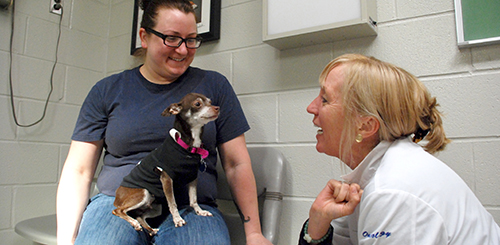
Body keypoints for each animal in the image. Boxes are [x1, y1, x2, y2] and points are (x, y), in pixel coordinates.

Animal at [115, 92, 221, 235]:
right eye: (197, 104)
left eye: (210, 101)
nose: (217, 108)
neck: (187, 146)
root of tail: (117, 196)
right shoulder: (166, 179)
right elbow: (173, 204)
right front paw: (178, 219)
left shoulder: (192, 177)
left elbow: (193, 200)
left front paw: (200, 211)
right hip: (142, 193)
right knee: (118, 210)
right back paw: (134, 223)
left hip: (155, 206)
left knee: (140, 216)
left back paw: (151, 230)